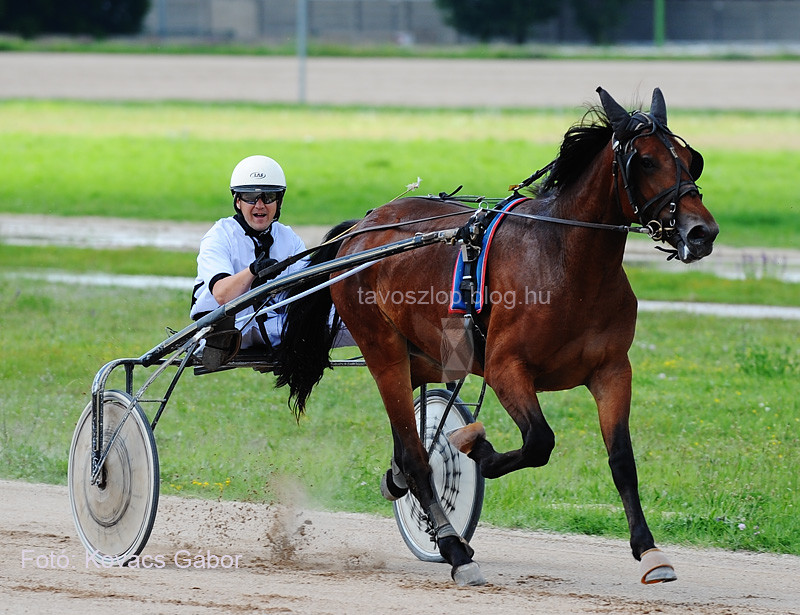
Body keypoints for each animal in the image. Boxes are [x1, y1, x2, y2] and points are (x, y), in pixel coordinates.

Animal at [274, 88, 720, 588]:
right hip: (381, 349)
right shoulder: (507, 368)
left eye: (691, 159)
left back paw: (410, 494)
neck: (566, 258)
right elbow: (539, 441)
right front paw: (476, 450)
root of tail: (364, 226)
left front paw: (649, 550)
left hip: (422, 357)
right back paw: (454, 549)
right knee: (417, 456)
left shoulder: (611, 370)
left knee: (406, 446)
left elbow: (622, 459)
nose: (701, 232)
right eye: (644, 160)